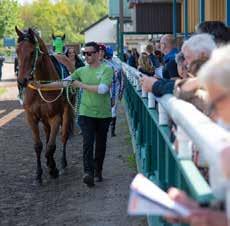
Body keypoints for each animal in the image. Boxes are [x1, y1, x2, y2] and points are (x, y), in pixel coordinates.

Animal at [15, 26, 76, 184]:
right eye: (17, 51)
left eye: (32, 52)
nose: (21, 81)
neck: (43, 86)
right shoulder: (31, 117)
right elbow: (39, 146)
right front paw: (39, 174)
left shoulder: (55, 117)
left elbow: (51, 147)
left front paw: (53, 168)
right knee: (48, 135)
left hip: (67, 111)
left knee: (63, 136)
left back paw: (62, 163)